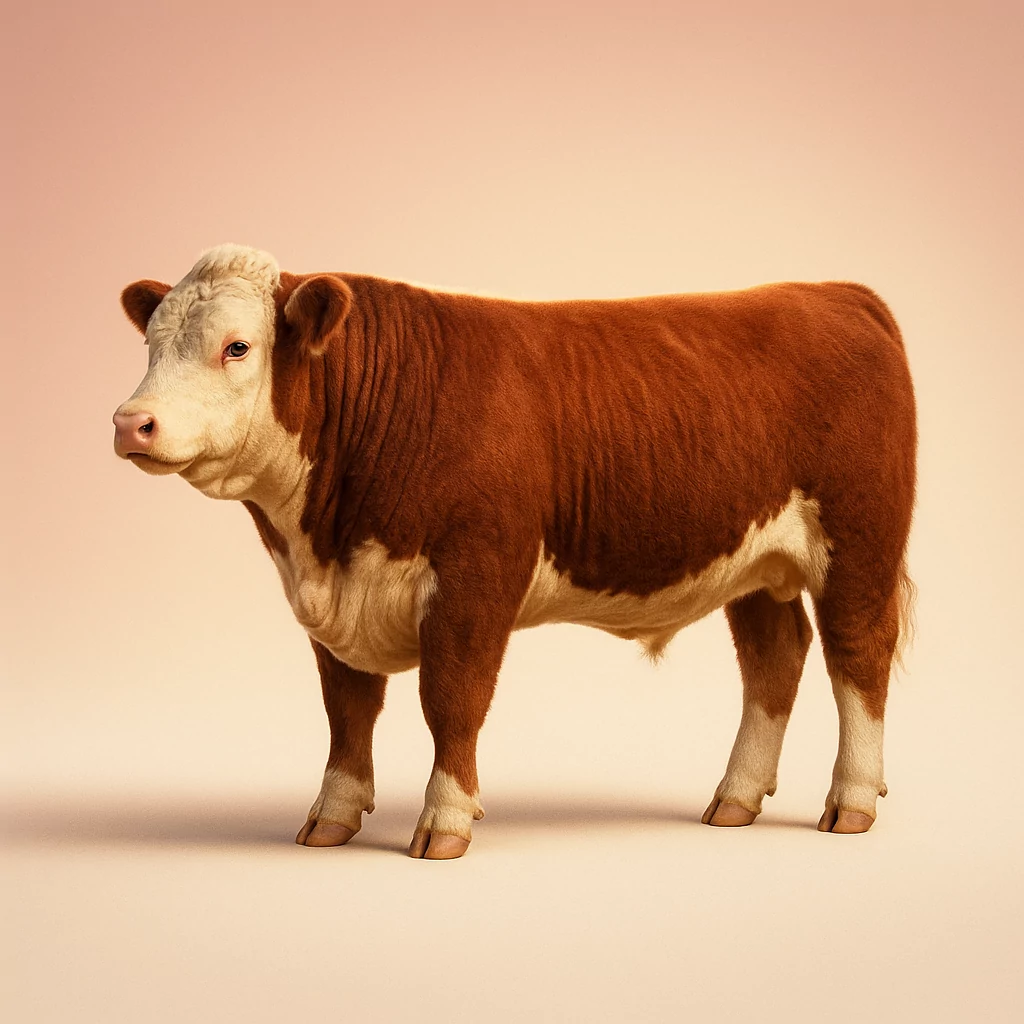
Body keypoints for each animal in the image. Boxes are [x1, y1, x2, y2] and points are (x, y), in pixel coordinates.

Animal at [113, 244, 917, 860]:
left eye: (237, 345)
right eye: (151, 344)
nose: (130, 422)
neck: (326, 540)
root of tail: (836, 293)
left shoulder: (476, 577)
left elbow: (452, 700)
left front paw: (444, 823)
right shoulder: (334, 600)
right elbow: (346, 709)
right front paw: (330, 818)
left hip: (861, 541)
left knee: (856, 655)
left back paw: (850, 803)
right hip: (755, 564)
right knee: (774, 657)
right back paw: (735, 799)